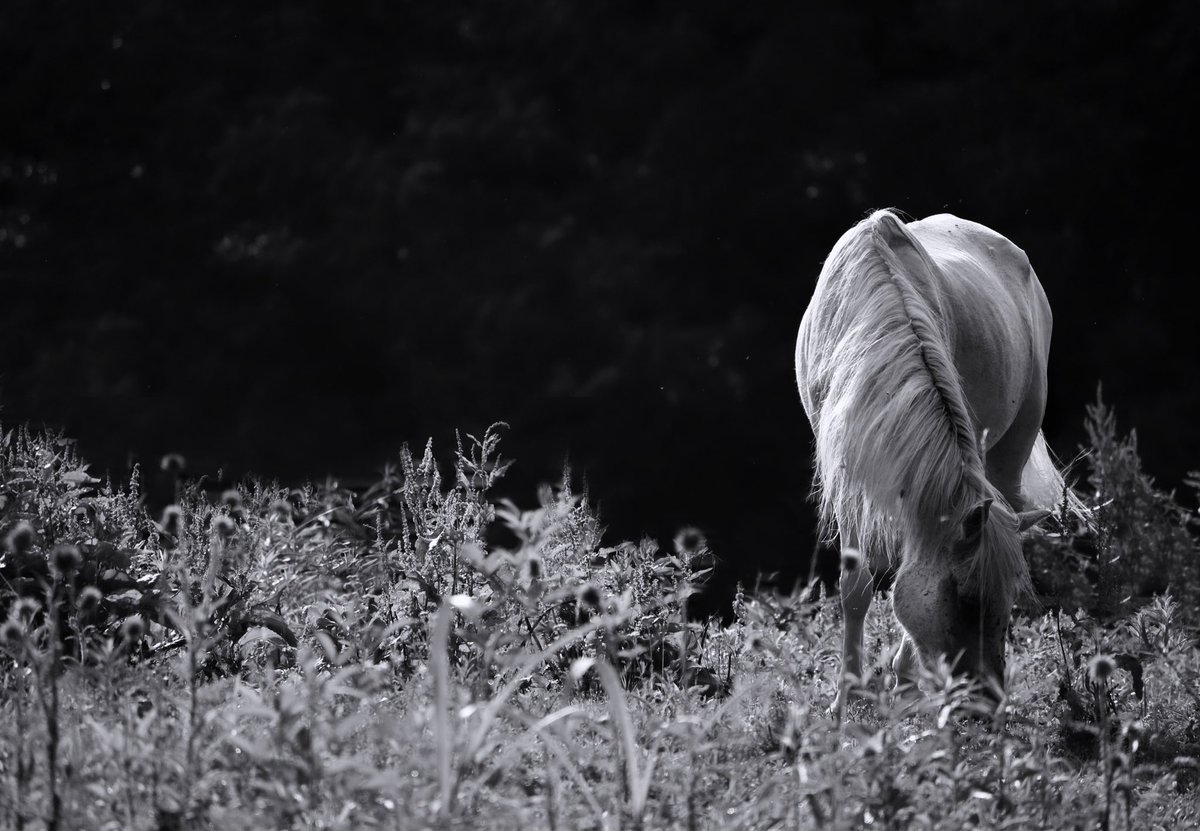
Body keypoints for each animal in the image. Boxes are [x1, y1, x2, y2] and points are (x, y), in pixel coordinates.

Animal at [795, 209, 1073, 708]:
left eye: (1008, 600)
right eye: (964, 598)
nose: (989, 698)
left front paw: (901, 680)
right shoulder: (850, 478)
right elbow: (855, 589)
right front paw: (846, 698)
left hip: (1010, 449)